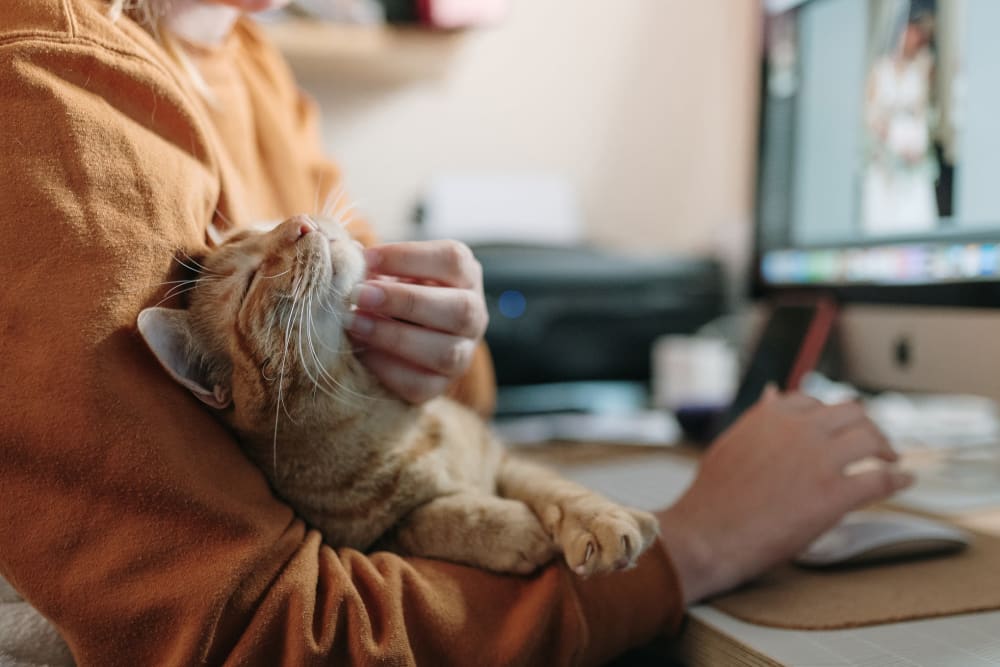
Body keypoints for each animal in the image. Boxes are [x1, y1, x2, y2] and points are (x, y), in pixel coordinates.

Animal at [139, 217, 656, 576]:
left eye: (266, 226)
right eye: (249, 283)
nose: (302, 221)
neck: (381, 419)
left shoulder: (503, 458)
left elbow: (556, 488)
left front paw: (602, 521)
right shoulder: (368, 541)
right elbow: (435, 518)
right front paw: (514, 529)